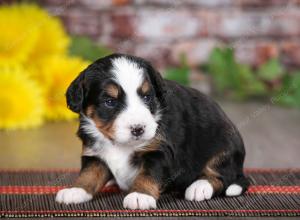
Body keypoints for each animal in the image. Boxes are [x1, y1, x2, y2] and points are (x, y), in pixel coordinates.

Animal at [55, 53, 248, 210]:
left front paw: (140, 195)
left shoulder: (158, 151)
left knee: (222, 176)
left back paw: (199, 187)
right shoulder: (95, 153)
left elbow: (148, 174)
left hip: (224, 145)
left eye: (147, 97)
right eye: (109, 102)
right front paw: (76, 190)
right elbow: (89, 173)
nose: (138, 129)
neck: (120, 144)